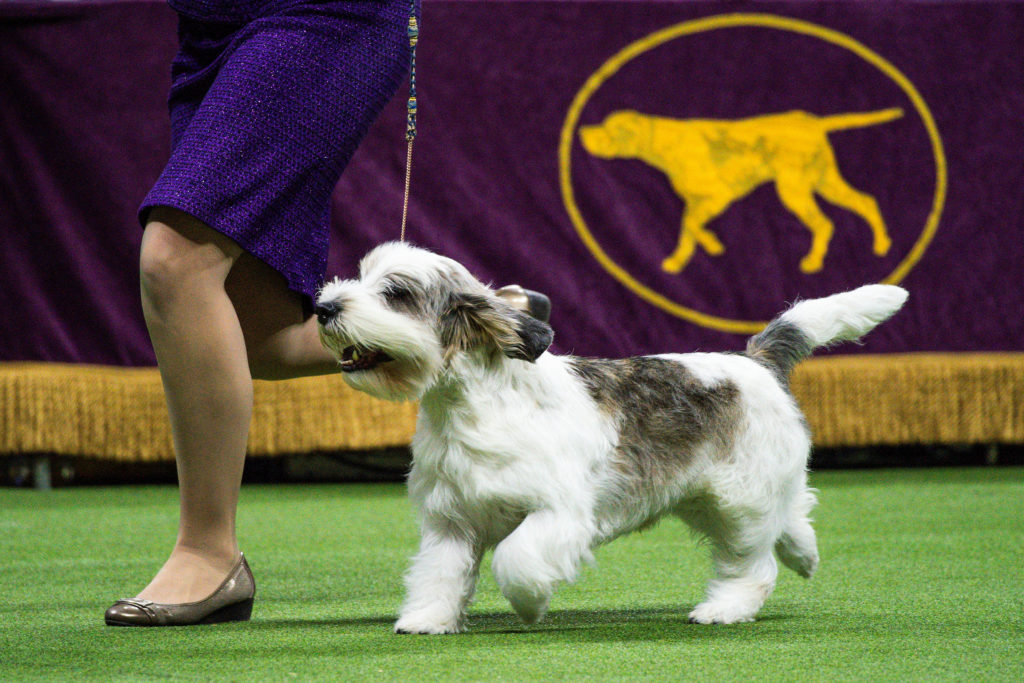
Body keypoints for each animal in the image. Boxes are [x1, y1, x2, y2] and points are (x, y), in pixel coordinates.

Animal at [315, 241, 909, 634]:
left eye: (395, 294)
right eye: (361, 278)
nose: (324, 308)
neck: (472, 408)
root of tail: (755, 361)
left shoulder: (557, 515)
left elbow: (516, 559)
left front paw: (530, 605)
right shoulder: (450, 521)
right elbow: (438, 575)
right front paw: (426, 620)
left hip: (738, 502)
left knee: (753, 565)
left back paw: (724, 608)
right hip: (712, 496)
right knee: (791, 516)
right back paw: (803, 553)